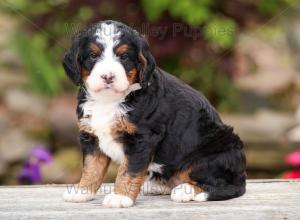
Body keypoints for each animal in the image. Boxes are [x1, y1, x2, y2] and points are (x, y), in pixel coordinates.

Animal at [61, 19, 246, 207]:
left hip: (210, 157)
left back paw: (185, 191)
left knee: (226, 185)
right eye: (93, 55)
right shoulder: (91, 136)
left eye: (124, 57)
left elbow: (129, 171)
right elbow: (91, 168)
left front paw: (120, 197)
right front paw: (82, 191)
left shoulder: (141, 139)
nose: (108, 76)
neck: (109, 100)